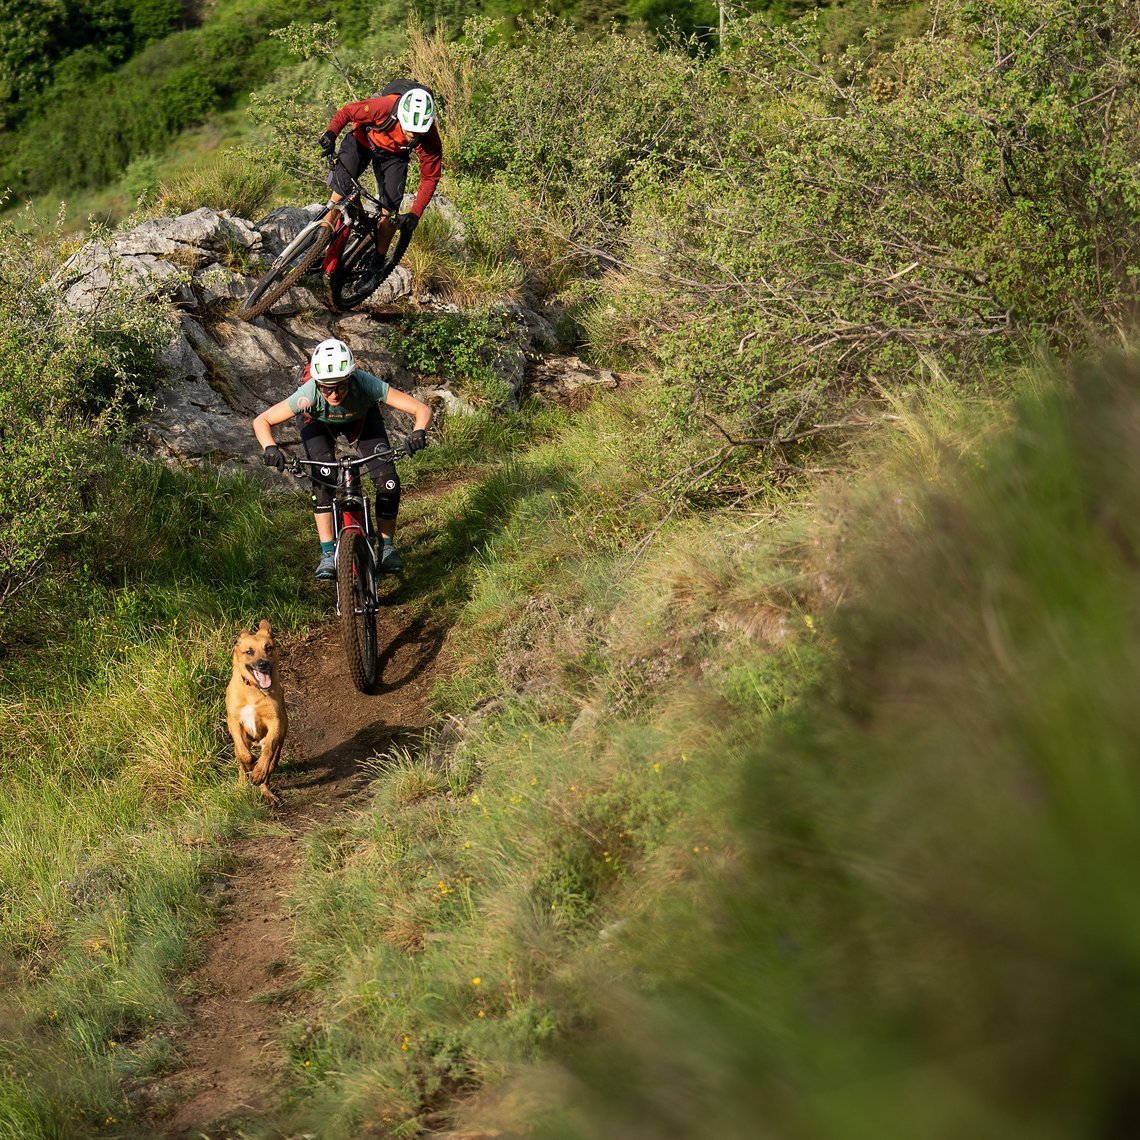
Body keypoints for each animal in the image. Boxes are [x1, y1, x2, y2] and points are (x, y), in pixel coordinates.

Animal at [221, 624, 285, 802]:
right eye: (249, 651)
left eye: (268, 648)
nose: (263, 664)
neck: (253, 690)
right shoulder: (234, 722)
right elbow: (245, 755)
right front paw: (251, 764)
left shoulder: (275, 722)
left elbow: (268, 749)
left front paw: (258, 771)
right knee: (241, 765)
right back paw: (241, 786)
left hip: (279, 747)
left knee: (269, 767)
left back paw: (266, 790)